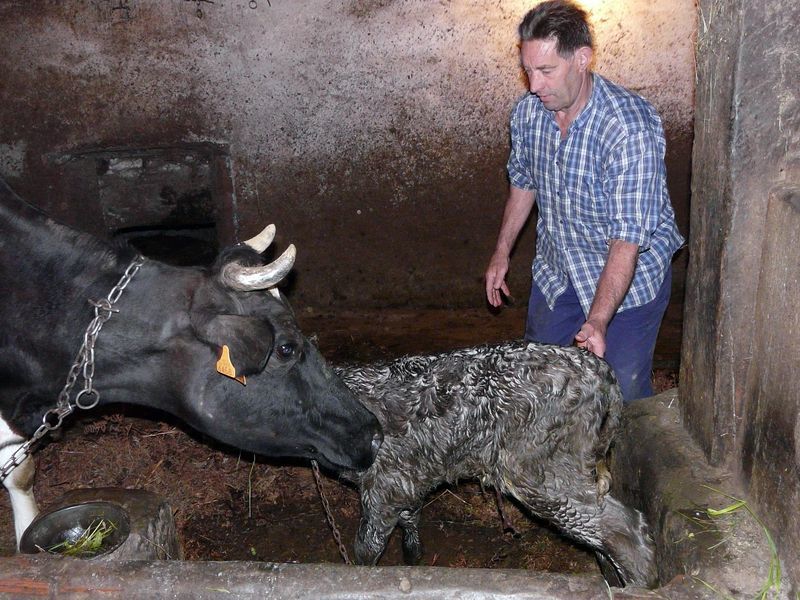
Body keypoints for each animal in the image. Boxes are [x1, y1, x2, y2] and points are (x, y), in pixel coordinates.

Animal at [336, 340, 656, 588]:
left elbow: (367, 547)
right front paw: (412, 560)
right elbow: (410, 523)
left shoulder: (383, 485)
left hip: (540, 473)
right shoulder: (408, 479)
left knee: (622, 527)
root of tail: (600, 371)